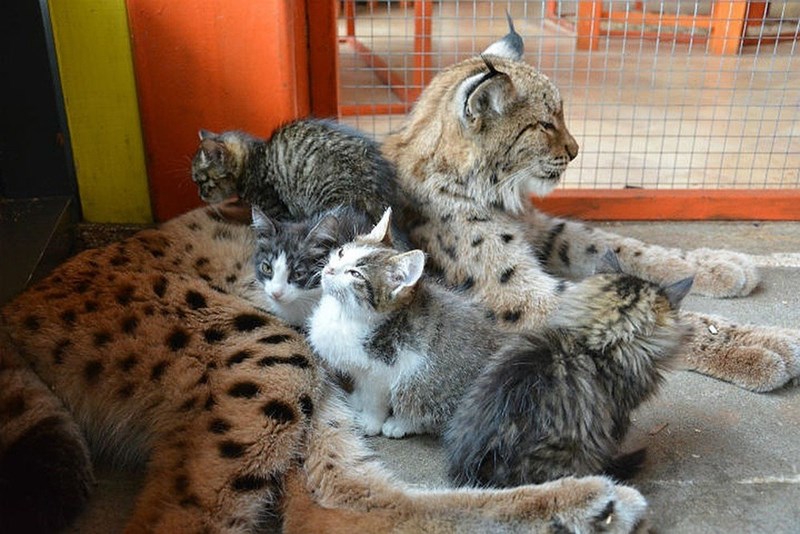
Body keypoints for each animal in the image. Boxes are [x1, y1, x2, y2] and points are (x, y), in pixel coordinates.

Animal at [306, 209, 500, 440]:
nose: (329, 269)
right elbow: (361, 385)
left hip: (423, 381)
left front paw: (370, 421)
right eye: (342, 253)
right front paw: (357, 400)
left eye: (355, 274)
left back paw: (400, 424)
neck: (345, 314)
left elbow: (375, 398)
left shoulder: (384, 371)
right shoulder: (362, 369)